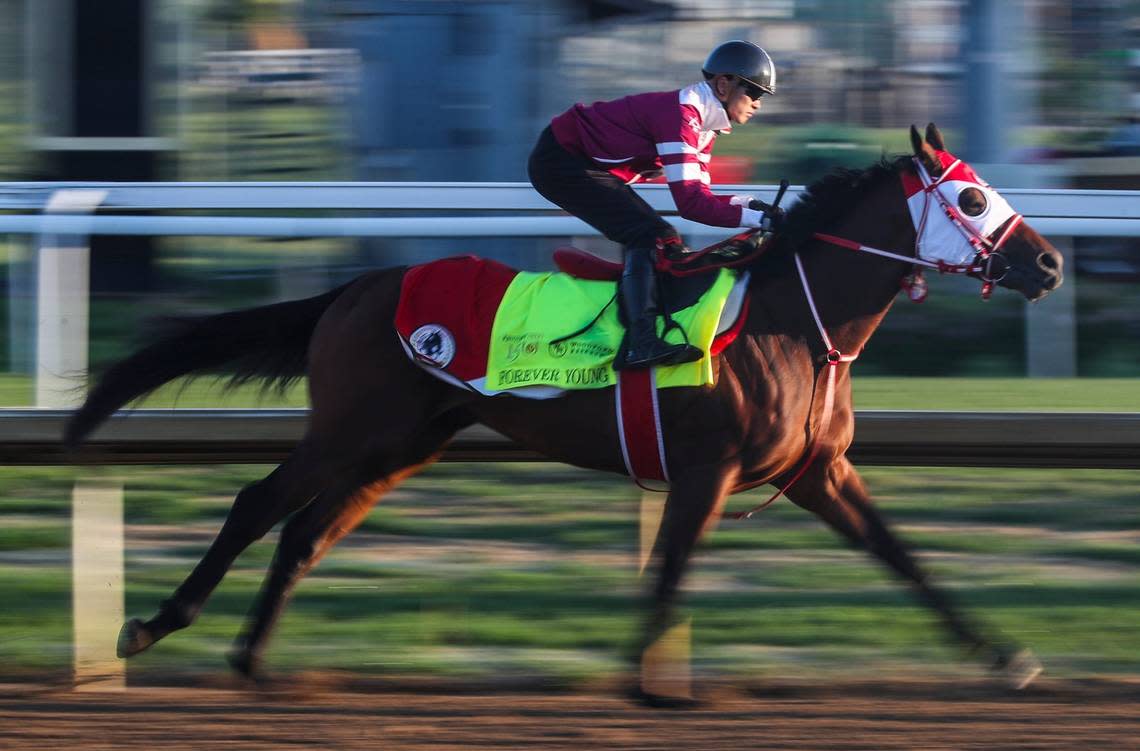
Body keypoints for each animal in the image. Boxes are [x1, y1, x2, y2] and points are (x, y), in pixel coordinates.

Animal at [64, 124, 1057, 706]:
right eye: (972, 197)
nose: (1047, 264)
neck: (795, 319)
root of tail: (355, 288)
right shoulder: (709, 469)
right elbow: (671, 567)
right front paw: (646, 685)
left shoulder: (816, 470)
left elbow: (901, 555)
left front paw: (1006, 656)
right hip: (353, 428)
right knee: (256, 504)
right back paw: (154, 626)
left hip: (403, 443)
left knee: (305, 531)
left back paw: (254, 662)